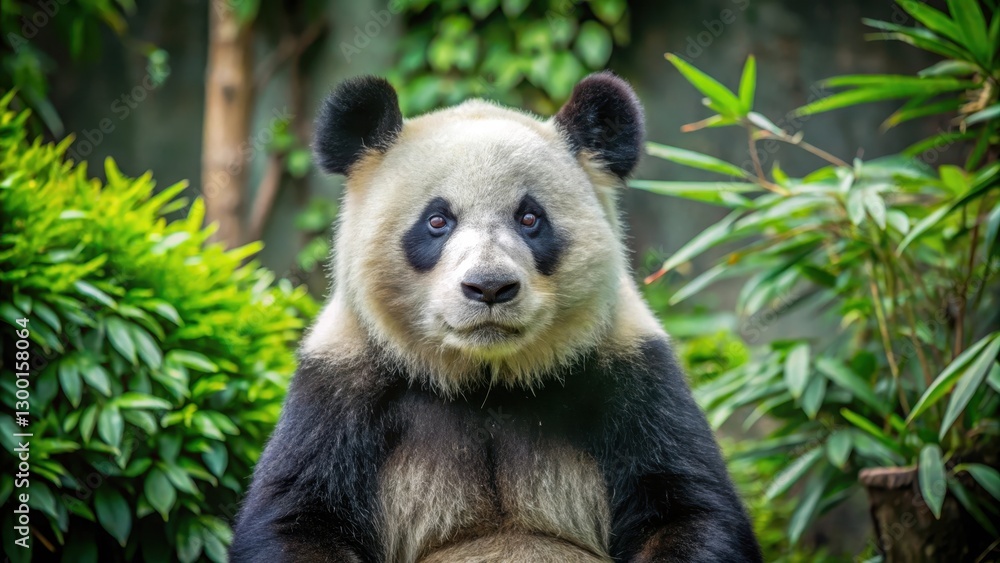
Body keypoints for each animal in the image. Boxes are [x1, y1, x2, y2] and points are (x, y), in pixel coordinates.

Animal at [230, 72, 762, 563]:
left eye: (530, 218)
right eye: (437, 220)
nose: (489, 287)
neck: (488, 377)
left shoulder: (630, 372)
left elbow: (687, 509)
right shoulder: (341, 384)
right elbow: (300, 518)